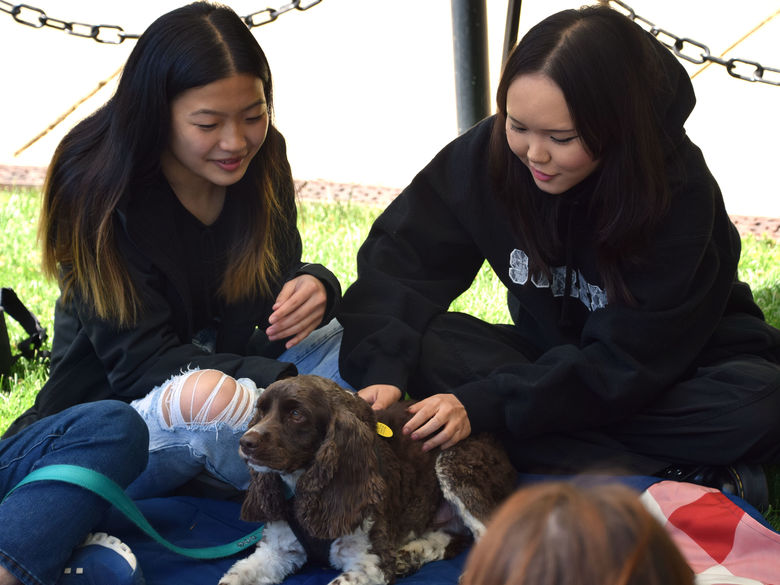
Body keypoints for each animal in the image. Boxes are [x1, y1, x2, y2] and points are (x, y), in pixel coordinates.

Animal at [219, 374, 516, 584]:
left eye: (296, 414)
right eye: (261, 411)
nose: (246, 442)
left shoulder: (370, 562)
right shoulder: (275, 551)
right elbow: (233, 577)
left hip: (454, 465)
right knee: (452, 537)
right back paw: (408, 556)